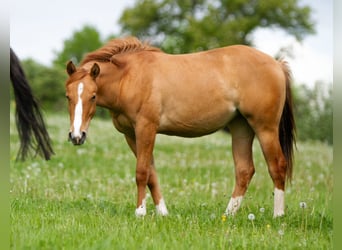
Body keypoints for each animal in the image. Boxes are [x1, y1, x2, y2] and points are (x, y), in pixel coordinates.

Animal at [65, 36, 296, 218]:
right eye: (68, 96)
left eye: (93, 96)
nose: (77, 136)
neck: (129, 77)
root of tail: (276, 64)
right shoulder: (131, 134)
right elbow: (151, 174)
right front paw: (163, 212)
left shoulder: (146, 129)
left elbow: (142, 171)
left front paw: (140, 212)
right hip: (241, 128)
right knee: (244, 170)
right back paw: (228, 215)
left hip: (265, 128)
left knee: (277, 166)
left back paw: (278, 215)